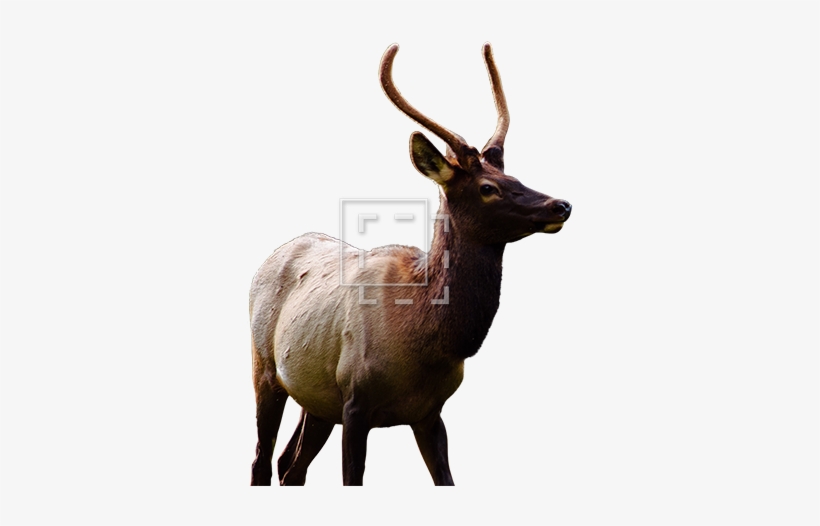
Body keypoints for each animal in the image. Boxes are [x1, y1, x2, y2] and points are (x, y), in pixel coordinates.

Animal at [249, 43, 572, 486]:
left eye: (516, 177)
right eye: (488, 187)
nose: (560, 205)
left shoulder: (429, 412)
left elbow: (447, 479)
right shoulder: (355, 402)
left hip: (316, 399)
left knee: (290, 465)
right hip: (265, 368)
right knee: (262, 462)